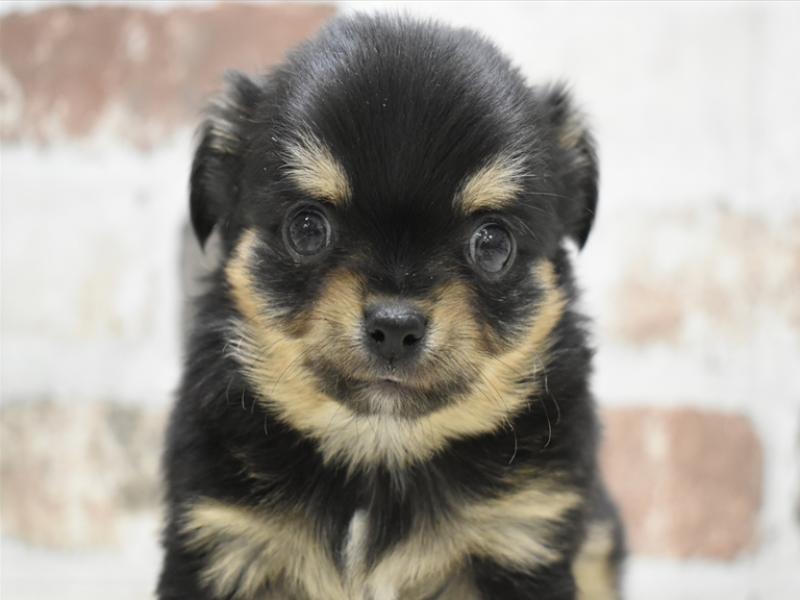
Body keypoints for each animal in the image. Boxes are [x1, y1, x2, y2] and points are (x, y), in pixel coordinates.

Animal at [158, 14, 624, 600]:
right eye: (306, 229)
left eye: (493, 244)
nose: (395, 326)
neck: (378, 453)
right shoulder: (220, 539)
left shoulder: (522, 534)